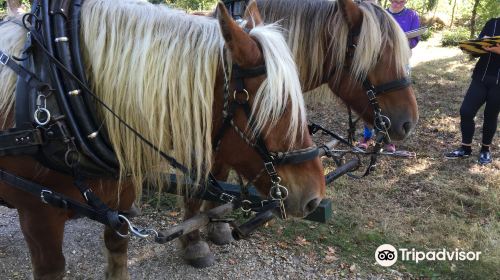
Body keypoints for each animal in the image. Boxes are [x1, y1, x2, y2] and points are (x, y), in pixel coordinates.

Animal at [0, 0, 324, 278]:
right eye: (276, 106)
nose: (315, 198)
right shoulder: (38, 216)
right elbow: (52, 268)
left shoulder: (121, 199)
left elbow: (117, 253)